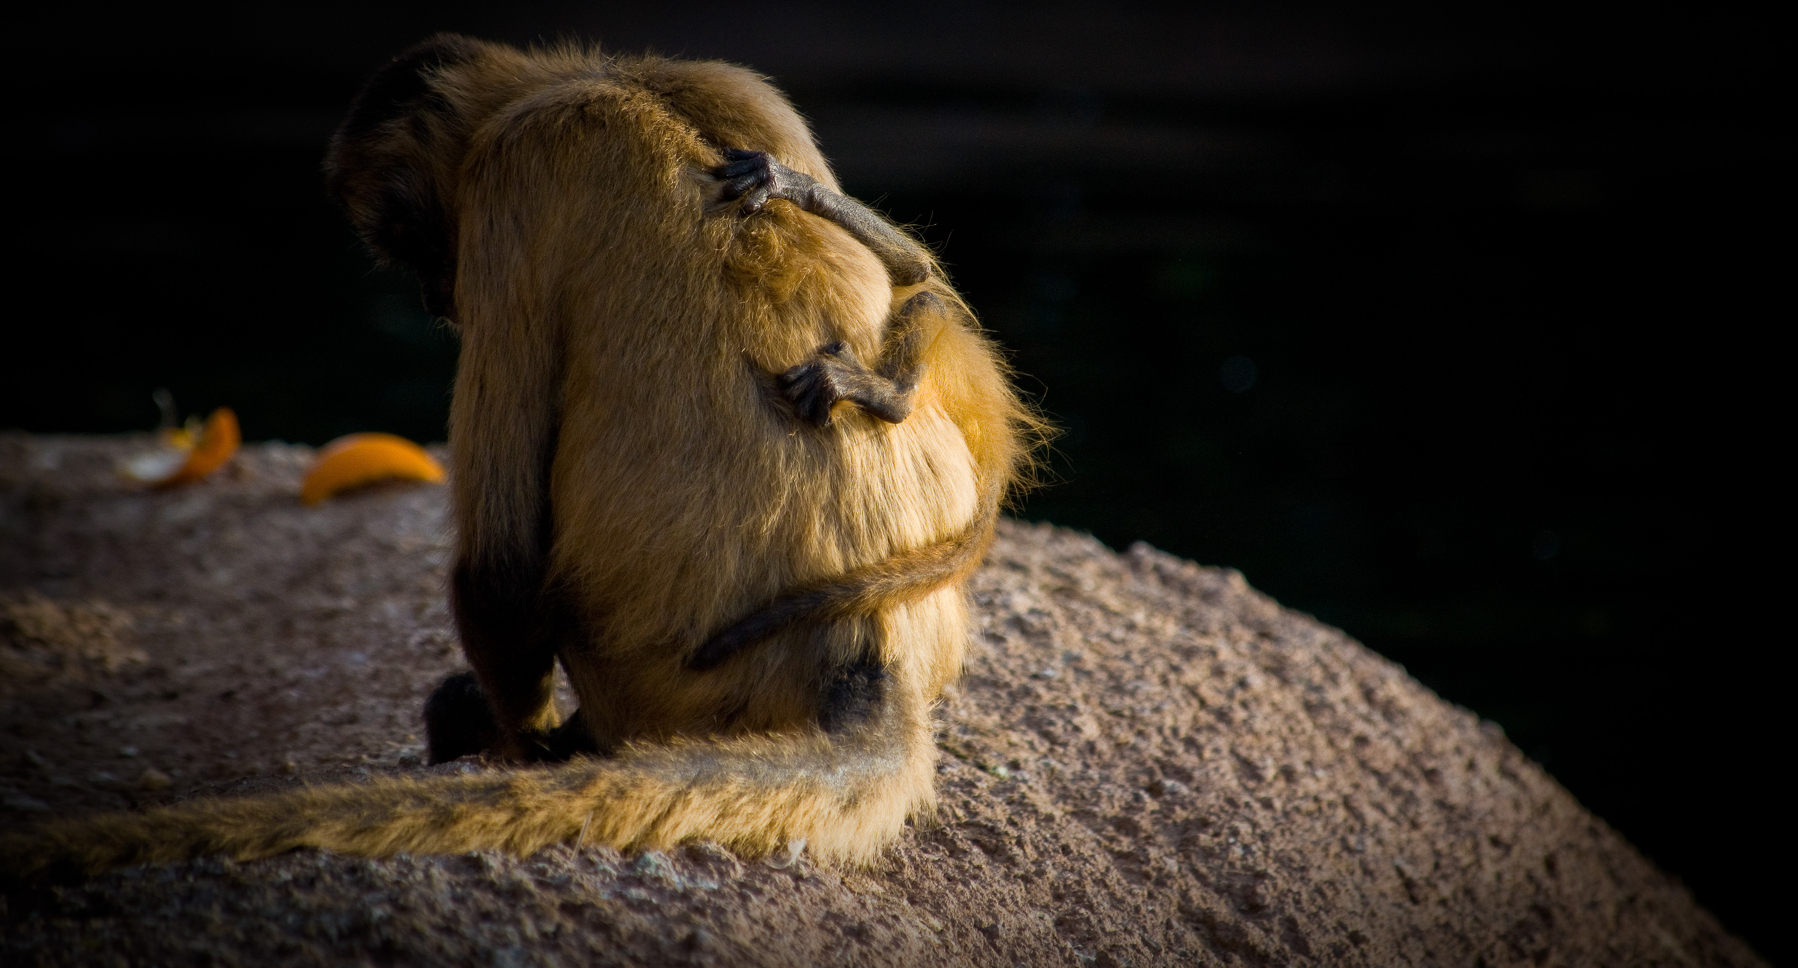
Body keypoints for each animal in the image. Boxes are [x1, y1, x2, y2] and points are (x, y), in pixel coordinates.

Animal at [1, 34, 1044, 886]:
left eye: (411, 239)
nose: (435, 298)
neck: (603, 79)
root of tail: (862, 659)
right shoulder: (742, 84)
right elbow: (915, 274)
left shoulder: (512, 173)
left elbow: (497, 569)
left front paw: (520, 741)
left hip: (635, 668)